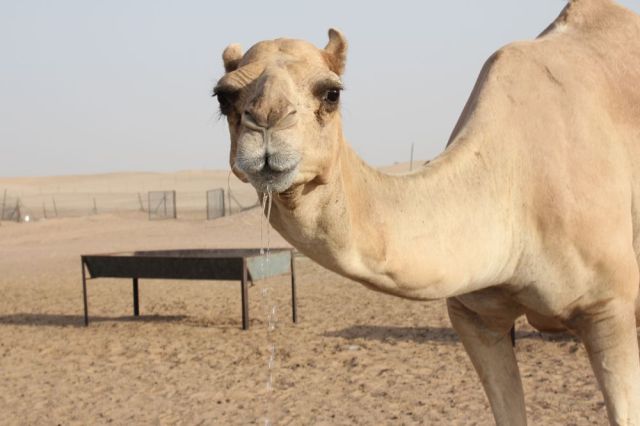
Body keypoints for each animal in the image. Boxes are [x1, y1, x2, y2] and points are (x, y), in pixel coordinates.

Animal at [213, 0, 640, 424]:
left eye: (331, 93)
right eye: (223, 97)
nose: (266, 121)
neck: (513, 184)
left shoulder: (609, 308)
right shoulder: (474, 317)